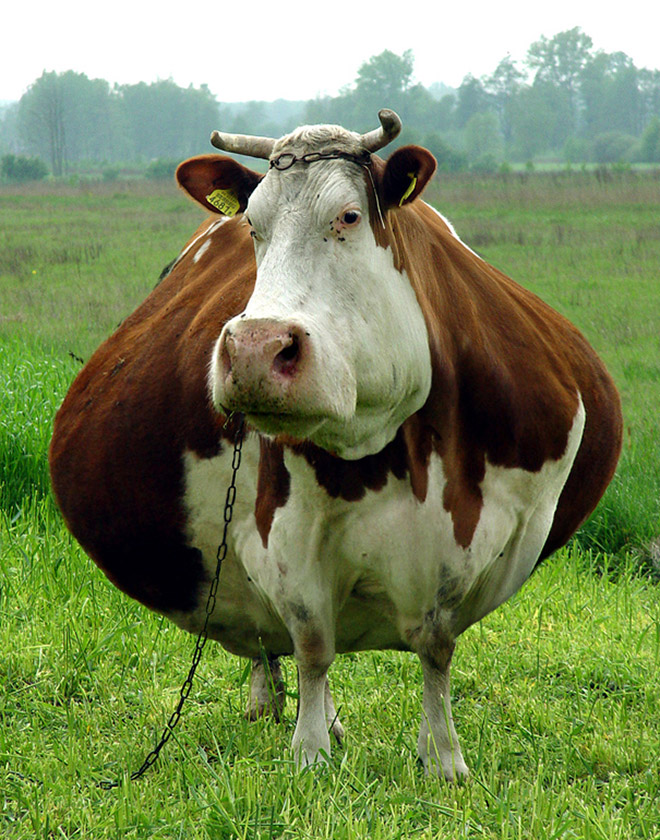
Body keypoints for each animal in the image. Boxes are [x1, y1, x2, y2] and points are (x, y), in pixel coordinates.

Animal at [49, 110, 622, 779]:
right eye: (252, 225)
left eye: (348, 216)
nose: (255, 348)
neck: (391, 450)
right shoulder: (284, 530)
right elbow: (312, 644)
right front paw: (311, 753)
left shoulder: (477, 529)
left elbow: (436, 645)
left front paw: (442, 758)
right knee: (272, 643)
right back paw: (281, 705)